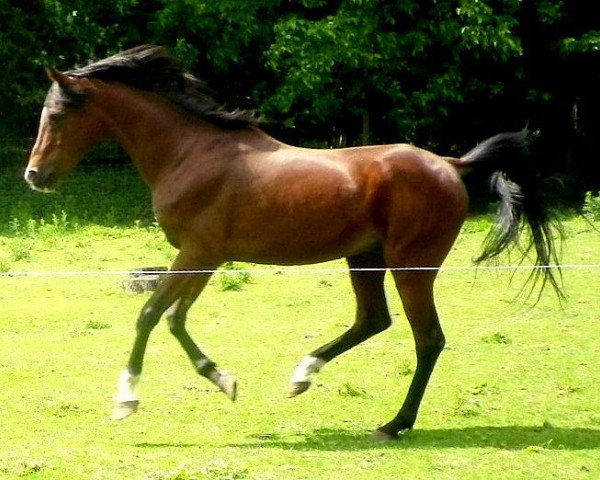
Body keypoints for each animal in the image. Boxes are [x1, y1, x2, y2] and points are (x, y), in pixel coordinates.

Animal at [23, 46, 564, 442]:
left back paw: (394, 424)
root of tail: (452, 165)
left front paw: (126, 400)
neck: (190, 153)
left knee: (427, 338)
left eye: (57, 115)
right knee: (373, 320)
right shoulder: (205, 257)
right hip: (364, 258)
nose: (34, 175)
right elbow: (174, 318)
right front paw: (224, 380)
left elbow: (151, 315)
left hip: (411, 267)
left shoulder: (198, 254)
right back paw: (303, 374)